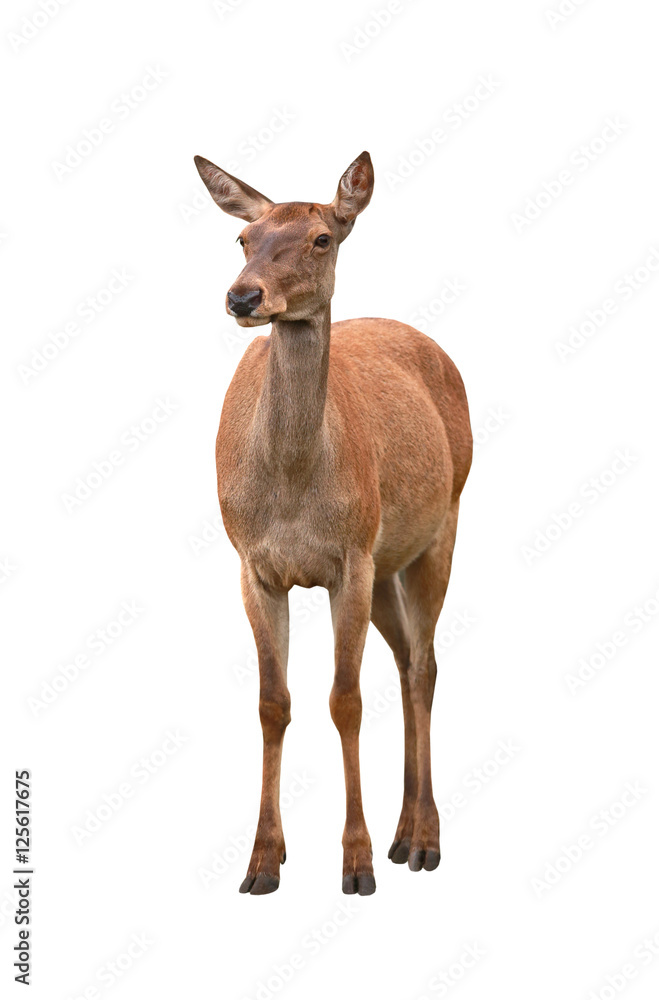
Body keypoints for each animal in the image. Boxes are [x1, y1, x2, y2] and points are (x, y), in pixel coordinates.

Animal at [194, 150, 472, 896]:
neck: (292, 494)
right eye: (242, 238)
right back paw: (405, 833)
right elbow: (273, 702)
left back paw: (423, 841)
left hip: (440, 526)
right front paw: (262, 862)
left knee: (426, 665)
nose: (243, 298)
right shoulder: (253, 565)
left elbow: (345, 700)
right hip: (387, 562)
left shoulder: (349, 558)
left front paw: (356, 862)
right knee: (406, 661)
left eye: (322, 238)